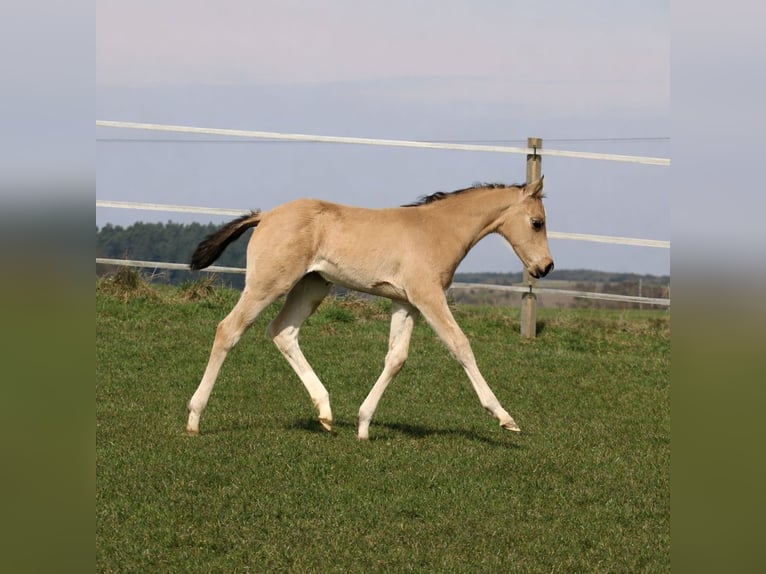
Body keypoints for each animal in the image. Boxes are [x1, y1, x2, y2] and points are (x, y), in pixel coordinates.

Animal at [186, 177, 553, 439]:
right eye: (537, 222)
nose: (546, 267)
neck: (437, 230)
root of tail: (265, 216)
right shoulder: (428, 296)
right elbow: (460, 345)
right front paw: (504, 417)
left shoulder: (405, 303)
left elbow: (396, 358)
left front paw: (363, 425)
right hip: (269, 283)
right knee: (229, 329)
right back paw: (194, 418)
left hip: (312, 285)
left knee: (282, 332)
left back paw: (325, 412)